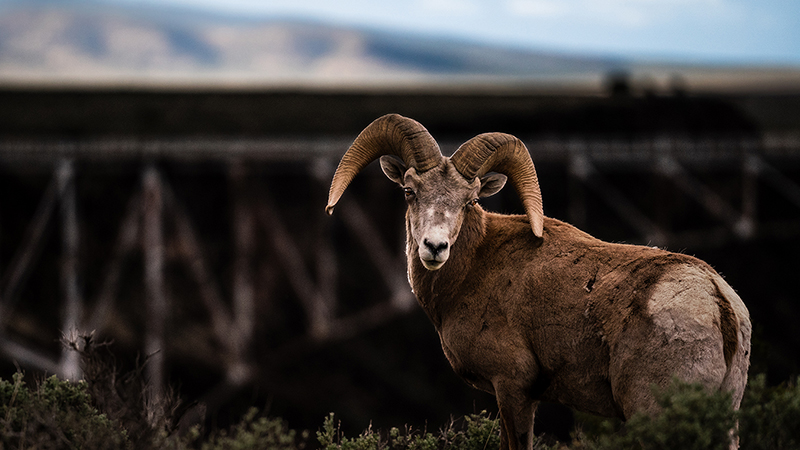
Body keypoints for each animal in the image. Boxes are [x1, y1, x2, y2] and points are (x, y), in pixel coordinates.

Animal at [325, 113, 751, 450]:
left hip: (653, 413)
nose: (435, 247)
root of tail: (719, 305)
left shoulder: (513, 388)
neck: (472, 271)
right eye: (409, 191)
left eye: (470, 200)